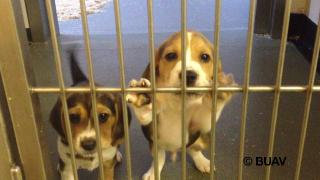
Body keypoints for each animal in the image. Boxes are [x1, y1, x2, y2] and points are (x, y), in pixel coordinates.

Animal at [127, 31, 235, 179]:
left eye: (205, 57)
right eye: (171, 55)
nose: (188, 75)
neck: (178, 102)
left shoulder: (200, 124)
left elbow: (207, 113)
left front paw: (217, 90)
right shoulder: (150, 122)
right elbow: (145, 115)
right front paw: (141, 97)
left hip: (200, 140)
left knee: (192, 149)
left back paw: (202, 161)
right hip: (154, 143)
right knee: (160, 157)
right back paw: (153, 172)